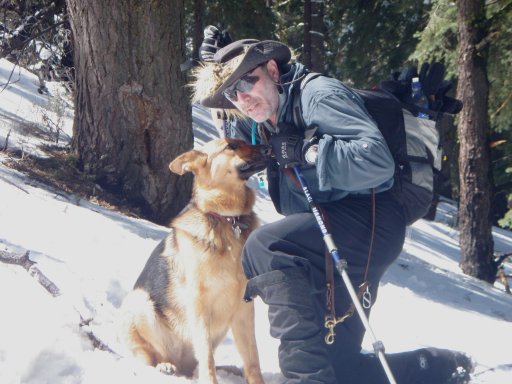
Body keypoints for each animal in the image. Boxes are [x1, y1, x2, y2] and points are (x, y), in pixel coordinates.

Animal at [120, 139, 268, 384]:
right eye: (231, 146)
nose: (268, 148)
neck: (228, 220)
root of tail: (182, 366)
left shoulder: (244, 309)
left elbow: (253, 359)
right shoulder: (199, 305)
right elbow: (207, 357)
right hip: (140, 301)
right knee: (150, 355)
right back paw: (165, 365)